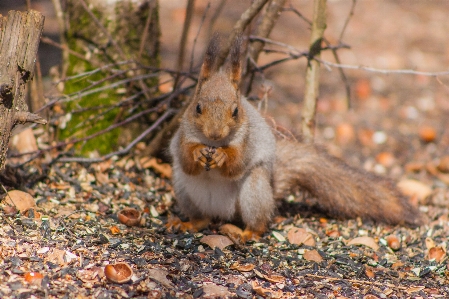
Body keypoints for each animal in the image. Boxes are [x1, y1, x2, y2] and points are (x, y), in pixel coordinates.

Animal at [166, 34, 422, 241]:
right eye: (197, 108)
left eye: (236, 111)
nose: (215, 133)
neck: (214, 142)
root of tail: (221, 213)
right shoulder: (183, 135)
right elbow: (186, 159)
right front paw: (198, 152)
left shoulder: (247, 141)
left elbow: (236, 163)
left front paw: (221, 157)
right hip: (182, 188)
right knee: (202, 217)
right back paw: (188, 223)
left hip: (255, 191)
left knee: (258, 222)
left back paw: (246, 233)